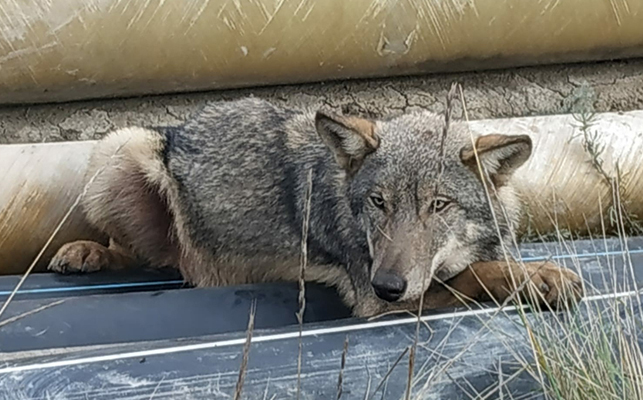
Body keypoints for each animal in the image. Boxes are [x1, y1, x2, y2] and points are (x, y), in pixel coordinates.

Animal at [49, 97, 584, 316]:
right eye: (378, 203)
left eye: (439, 205)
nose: (389, 285)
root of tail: (182, 126)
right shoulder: (376, 304)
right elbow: (478, 275)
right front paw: (541, 277)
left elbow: (486, 265)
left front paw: (536, 273)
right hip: (121, 147)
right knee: (137, 253)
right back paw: (87, 252)